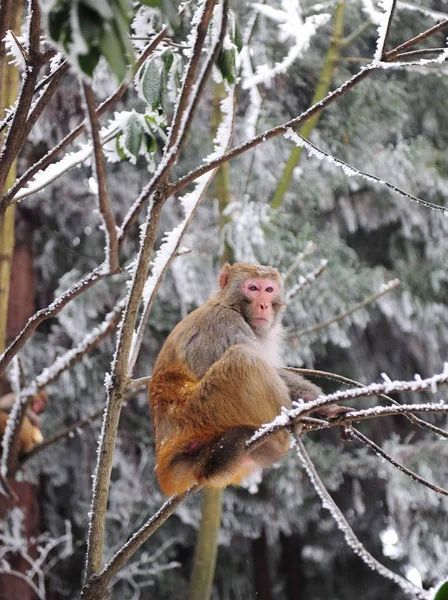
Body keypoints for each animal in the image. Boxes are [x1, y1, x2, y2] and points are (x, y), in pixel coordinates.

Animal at [150, 260, 346, 494]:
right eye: (252, 288)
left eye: (269, 289)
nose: (263, 305)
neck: (229, 305)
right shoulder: (224, 324)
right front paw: (320, 403)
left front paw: (324, 406)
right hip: (202, 411)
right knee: (244, 357)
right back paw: (284, 431)